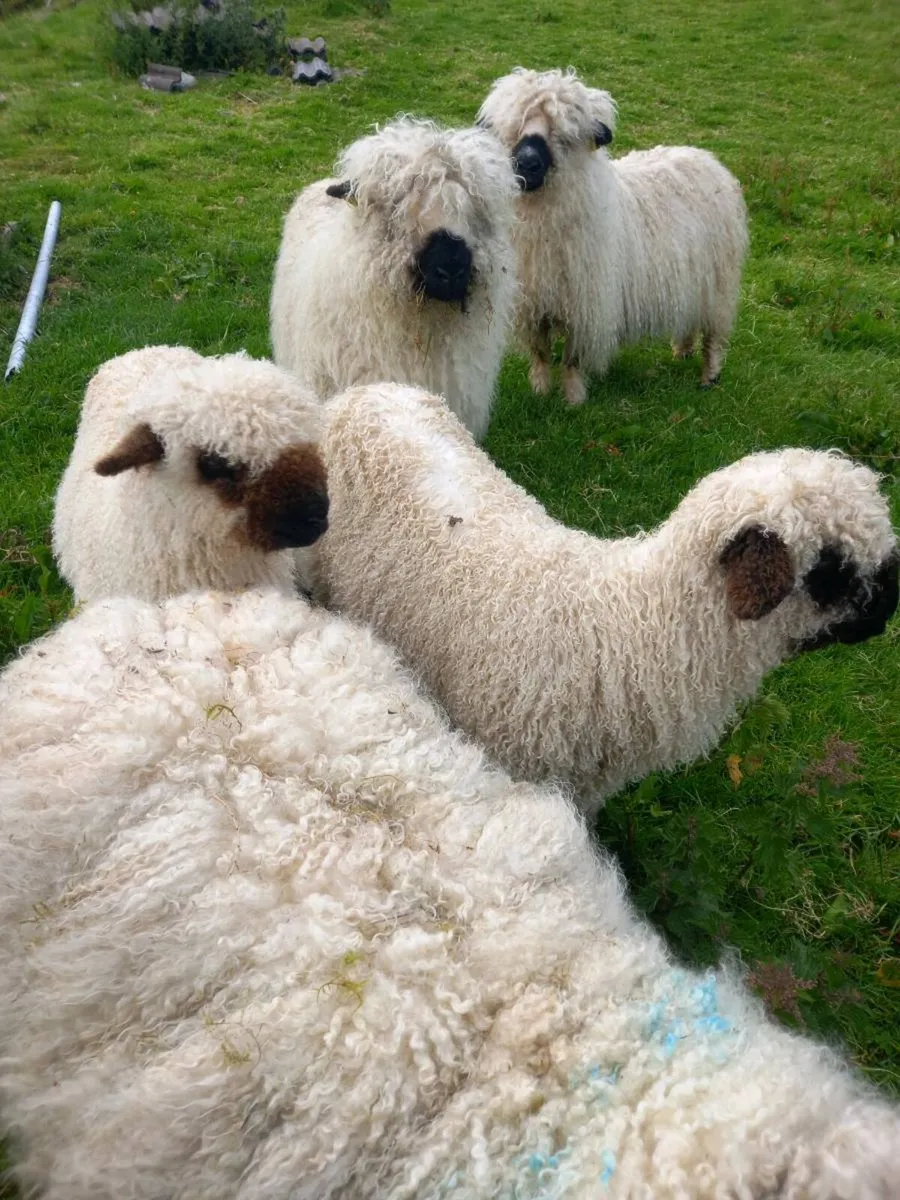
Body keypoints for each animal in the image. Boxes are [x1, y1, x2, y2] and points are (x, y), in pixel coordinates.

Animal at [476, 67, 750, 403]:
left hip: (718, 288)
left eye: (564, 137)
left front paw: (573, 400)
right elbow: (540, 352)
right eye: (513, 130)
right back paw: (682, 352)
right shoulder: (535, 304)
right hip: (694, 282)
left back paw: (709, 376)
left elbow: (572, 359)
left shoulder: (586, 308)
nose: (527, 164)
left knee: (713, 336)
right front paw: (540, 391)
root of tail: (707, 158)